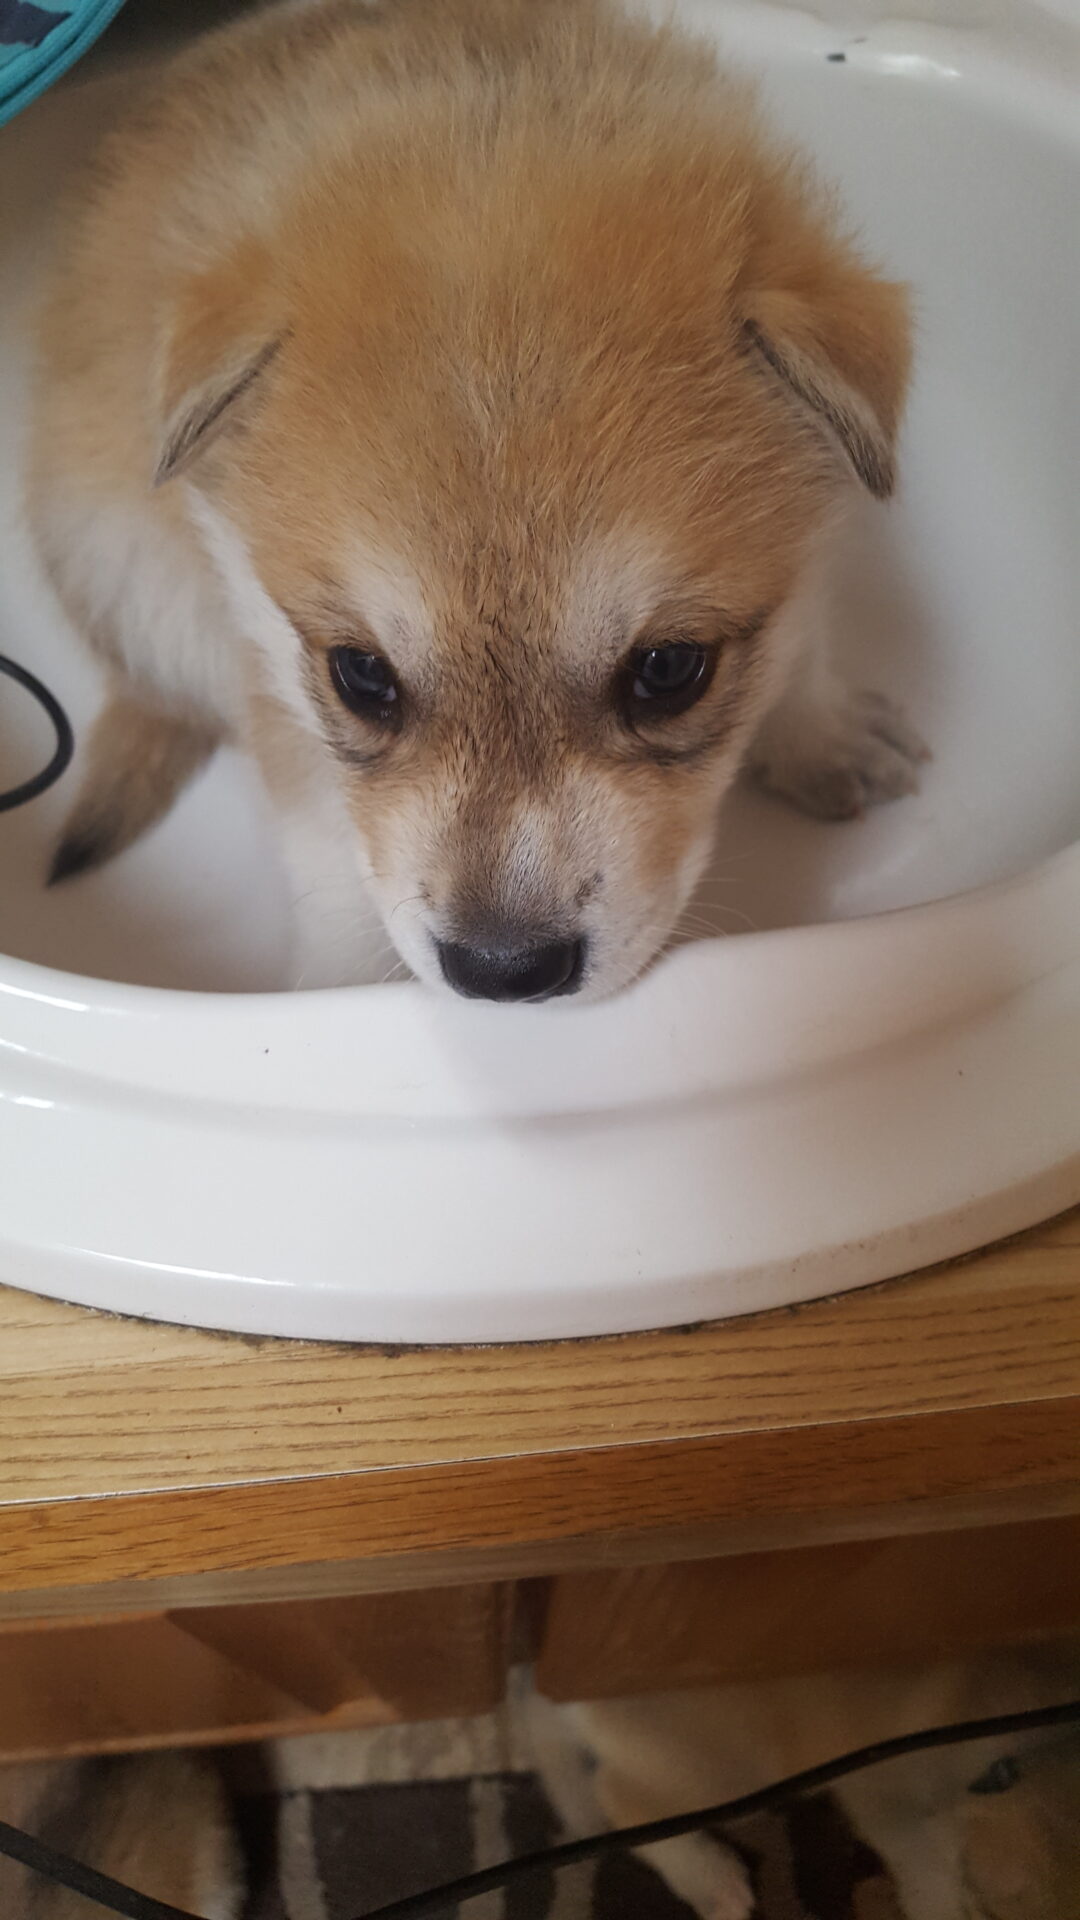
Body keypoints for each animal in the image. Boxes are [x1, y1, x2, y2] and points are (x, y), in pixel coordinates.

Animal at [25, 0, 914, 998]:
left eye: (669, 669)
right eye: (362, 676)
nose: (502, 971)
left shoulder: (815, 542)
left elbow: (805, 640)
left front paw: (821, 733)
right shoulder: (271, 670)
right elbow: (330, 865)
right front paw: (338, 1000)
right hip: (127, 570)